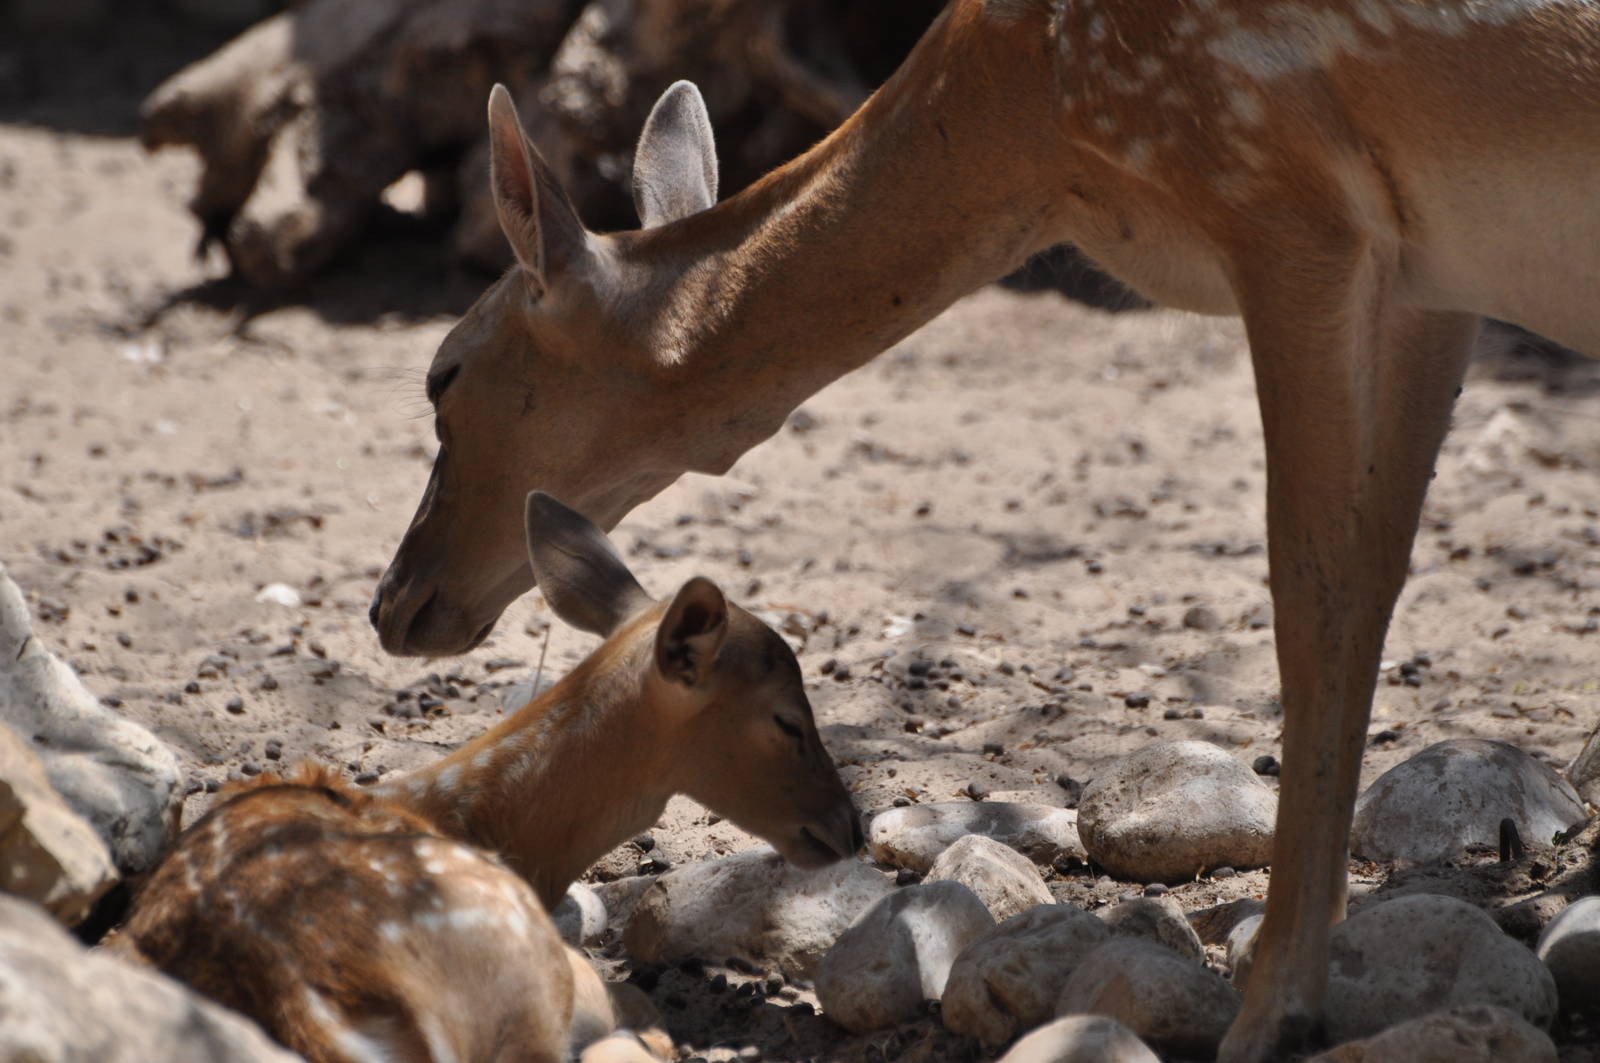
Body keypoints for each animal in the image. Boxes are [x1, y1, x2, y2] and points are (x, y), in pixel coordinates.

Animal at [366, 2, 1600, 1059]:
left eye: (442, 374)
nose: (392, 603)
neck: (1037, 123)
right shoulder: (1431, 275)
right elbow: (1377, 575)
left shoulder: (1286, 202)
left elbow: (1313, 590)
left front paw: (1272, 1011)